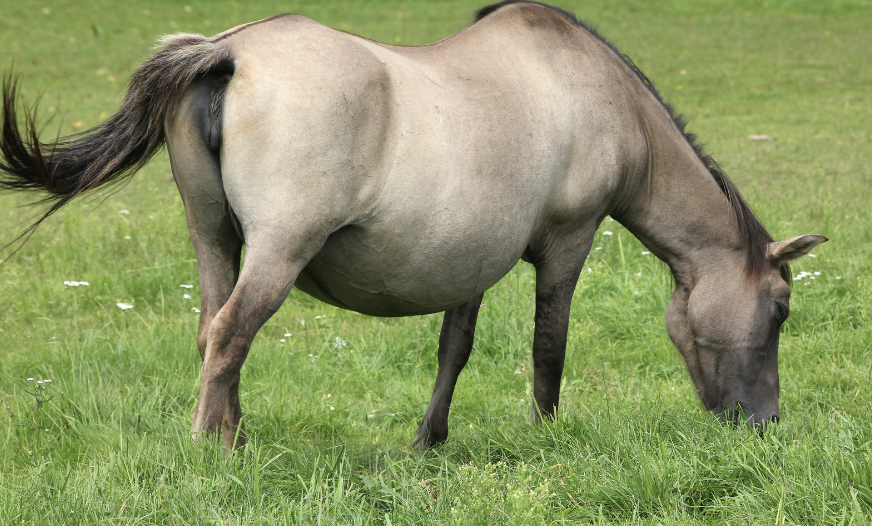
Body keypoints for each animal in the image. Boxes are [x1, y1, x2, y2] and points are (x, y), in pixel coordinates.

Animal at [0, 2, 824, 452]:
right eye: (781, 309)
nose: (765, 424)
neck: (598, 95)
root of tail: (227, 51)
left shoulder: (471, 258)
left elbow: (453, 349)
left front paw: (429, 439)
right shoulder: (570, 240)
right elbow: (549, 345)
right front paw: (547, 435)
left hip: (214, 239)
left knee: (212, 333)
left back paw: (234, 437)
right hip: (277, 252)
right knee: (233, 332)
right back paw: (210, 449)